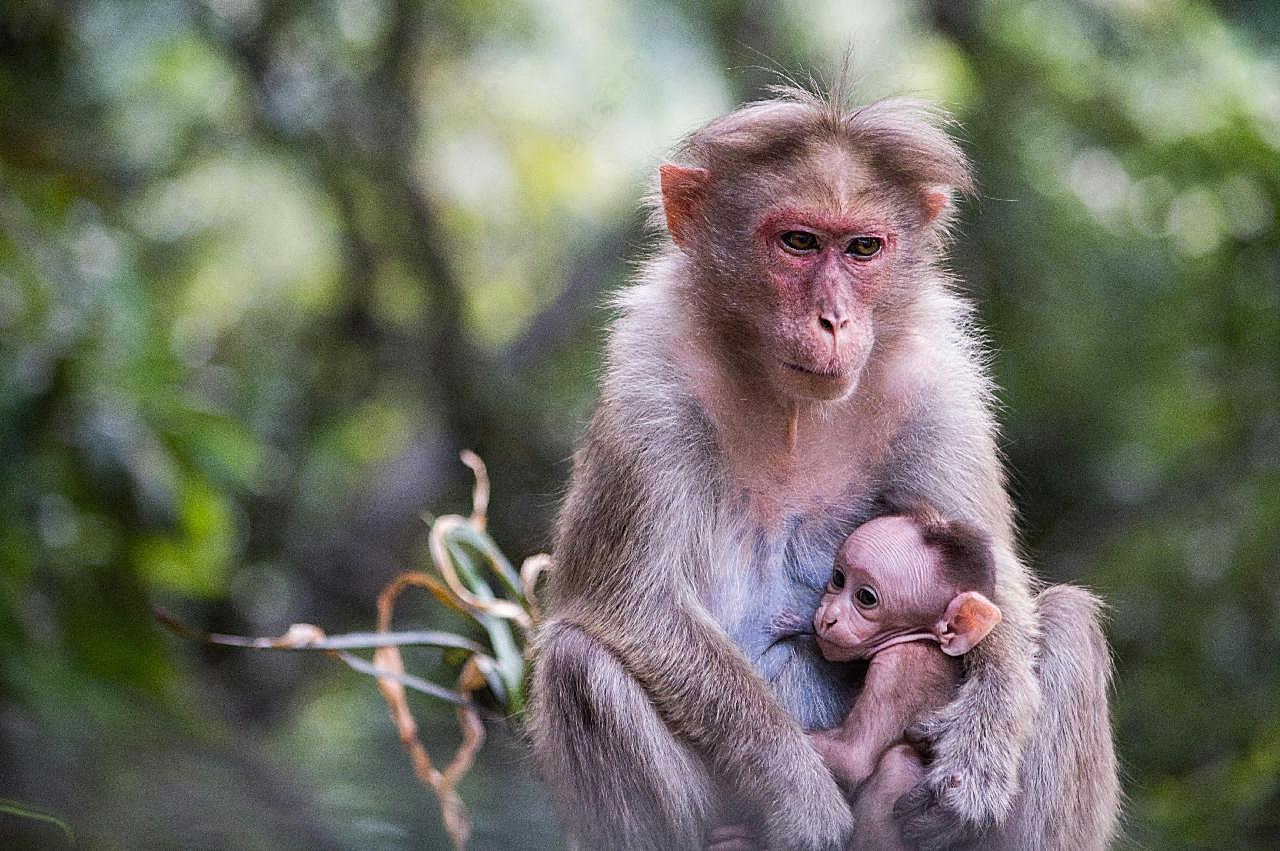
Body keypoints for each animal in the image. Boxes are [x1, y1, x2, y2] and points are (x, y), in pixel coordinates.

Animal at [814, 514, 1003, 844]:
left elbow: (852, 757)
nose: (828, 617)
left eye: (865, 597)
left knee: (898, 763)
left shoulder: (896, 668)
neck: (922, 640)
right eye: (838, 578)